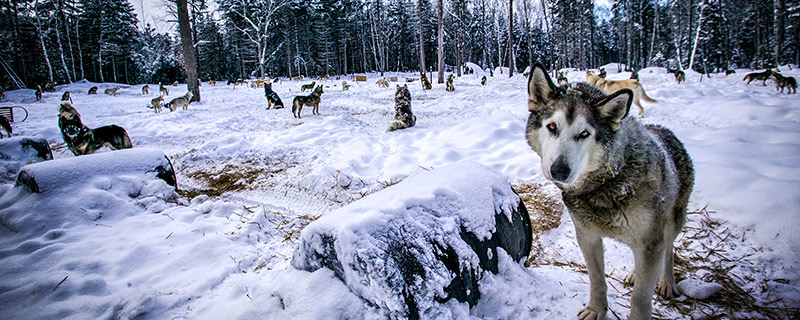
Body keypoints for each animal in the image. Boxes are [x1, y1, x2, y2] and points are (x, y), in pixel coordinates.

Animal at [524, 62, 692, 320]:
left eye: (584, 133)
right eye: (552, 127)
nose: (559, 171)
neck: (607, 182)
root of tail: (664, 130)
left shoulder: (651, 243)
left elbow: (640, 298)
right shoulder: (587, 236)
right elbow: (597, 279)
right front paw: (596, 309)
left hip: (672, 223)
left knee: (669, 249)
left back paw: (667, 282)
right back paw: (635, 274)